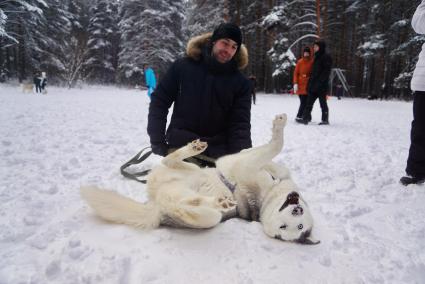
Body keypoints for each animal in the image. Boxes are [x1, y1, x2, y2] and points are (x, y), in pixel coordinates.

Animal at [80, 113, 318, 244]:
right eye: (286, 226)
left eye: (296, 227)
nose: (297, 209)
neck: (268, 194)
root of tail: (156, 205)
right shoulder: (246, 160)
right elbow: (273, 150)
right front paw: (278, 127)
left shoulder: (248, 165)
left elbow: (275, 148)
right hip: (193, 170)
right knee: (170, 161)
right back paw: (193, 149)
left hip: (206, 216)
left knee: (186, 205)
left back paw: (218, 202)